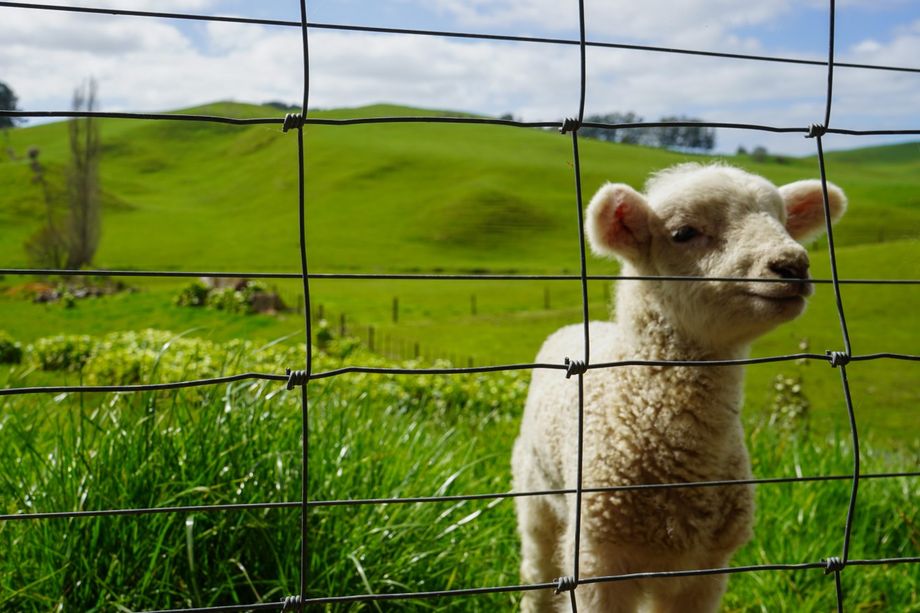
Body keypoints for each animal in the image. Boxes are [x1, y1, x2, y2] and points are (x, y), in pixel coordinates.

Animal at [512, 163, 847, 613]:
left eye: (782, 220)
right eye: (684, 232)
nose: (792, 264)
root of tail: (581, 325)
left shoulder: (705, 571)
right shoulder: (598, 562)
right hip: (535, 496)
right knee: (537, 570)